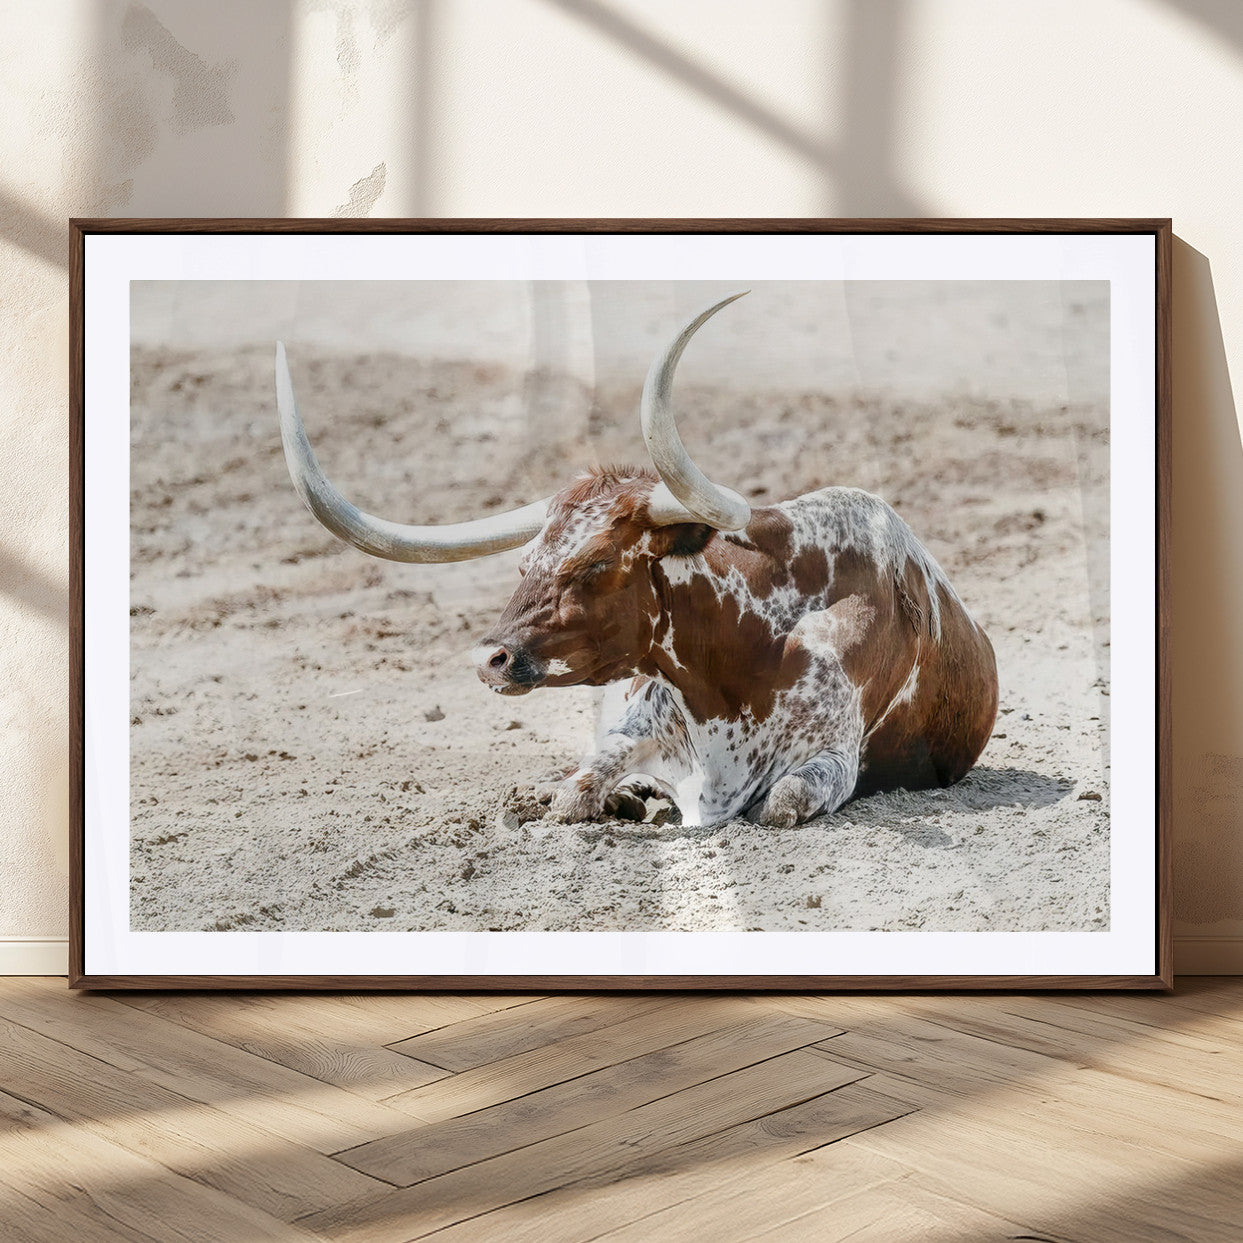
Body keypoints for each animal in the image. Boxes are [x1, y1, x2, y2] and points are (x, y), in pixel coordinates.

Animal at [276, 292, 998, 829]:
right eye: (525, 563)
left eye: (596, 565)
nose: (491, 659)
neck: (746, 654)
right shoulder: (634, 722)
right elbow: (576, 790)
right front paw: (610, 796)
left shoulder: (832, 759)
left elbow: (780, 802)